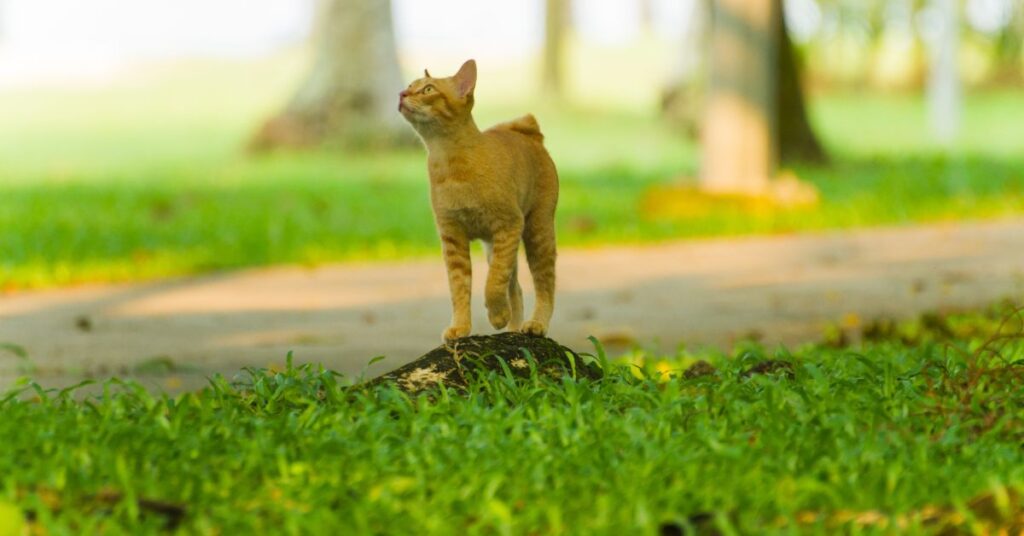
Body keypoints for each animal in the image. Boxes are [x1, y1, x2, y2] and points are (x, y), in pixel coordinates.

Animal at [399, 59, 561, 344]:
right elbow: (460, 288)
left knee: (545, 284)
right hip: (496, 246)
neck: (449, 162)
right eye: (410, 85)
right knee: (517, 288)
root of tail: (529, 134)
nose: (401, 94)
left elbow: (493, 282)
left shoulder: (508, 225)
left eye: (428, 89)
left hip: (536, 232)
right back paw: (513, 329)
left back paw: (536, 324)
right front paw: (461, 327)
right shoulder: (453, 238)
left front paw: (496, 314)